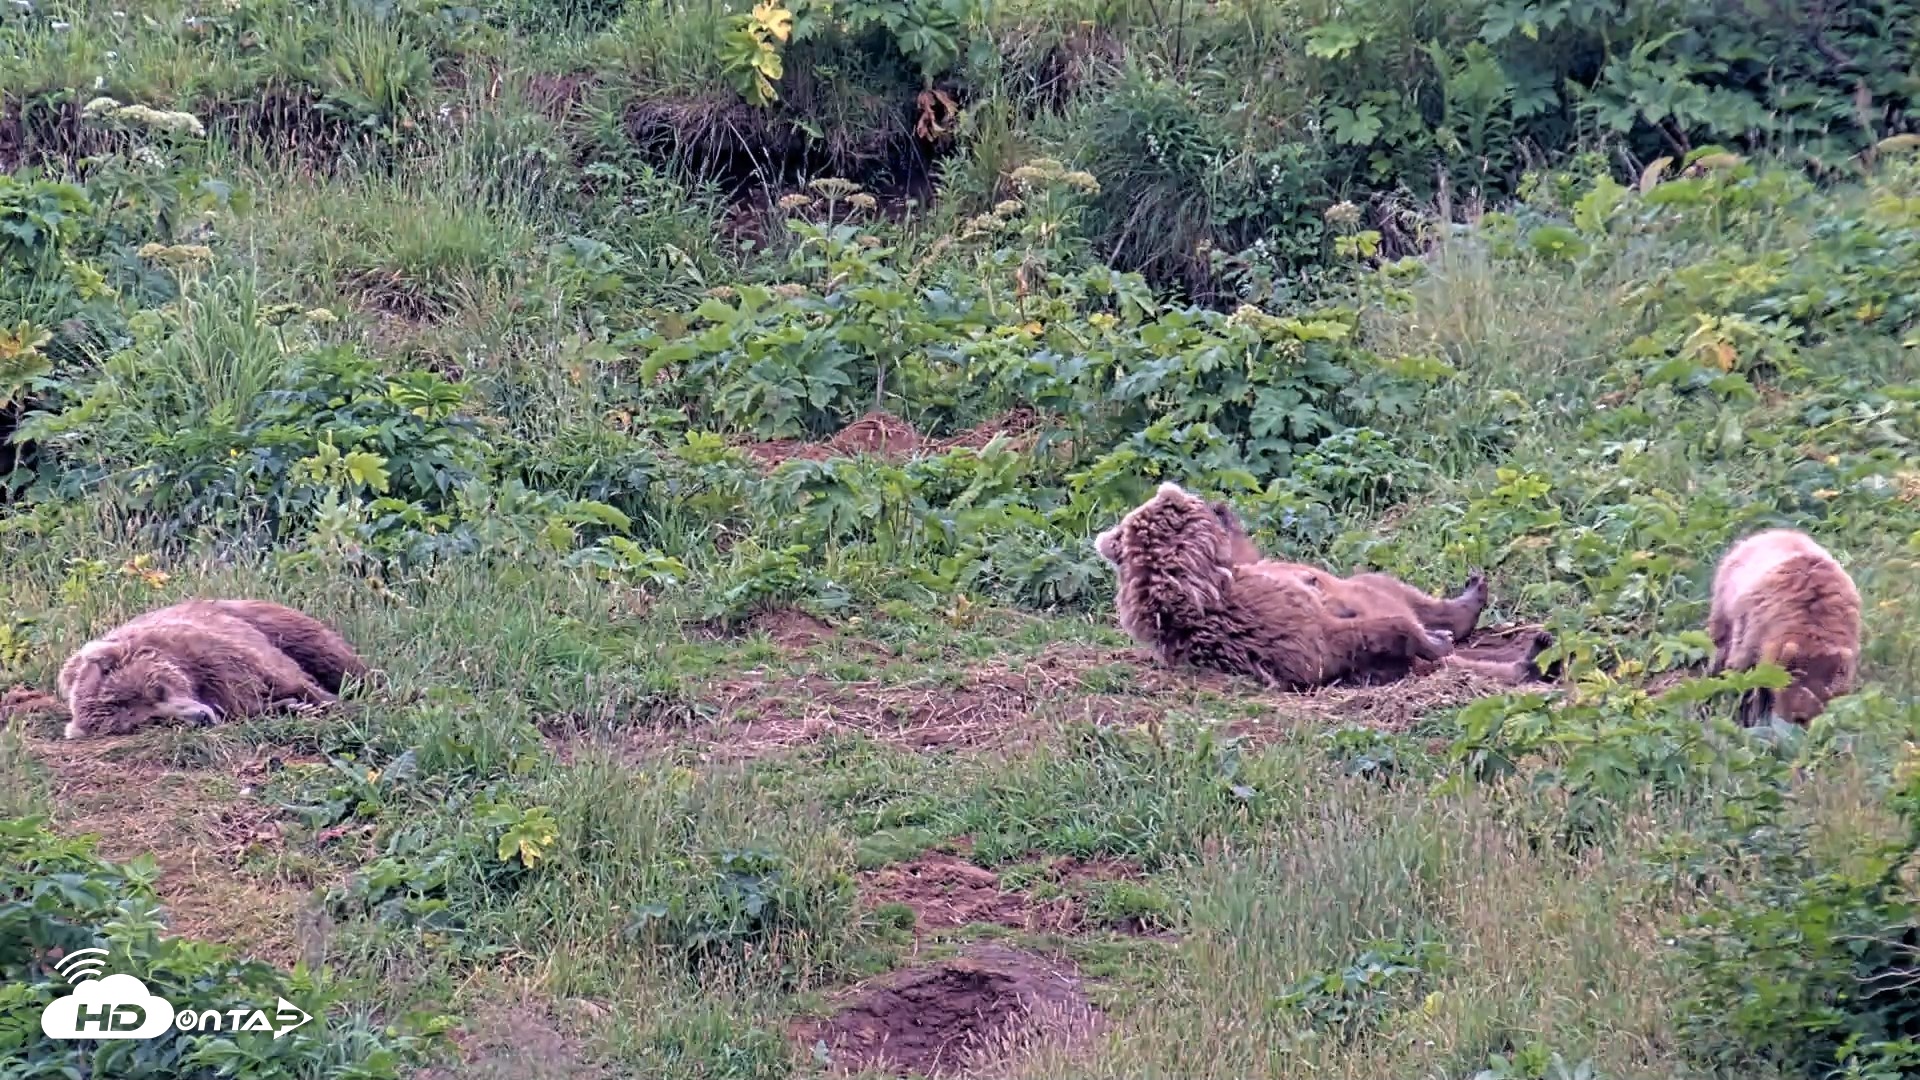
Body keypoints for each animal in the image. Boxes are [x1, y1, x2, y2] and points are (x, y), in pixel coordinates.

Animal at [58, 599, 367, 740]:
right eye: (151, 720)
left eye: (158, 690)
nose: (202, 718)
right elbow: (251, 705)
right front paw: (291, 707)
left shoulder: (215, 657)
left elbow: (282, 679)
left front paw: (327, 703)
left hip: (266, 620)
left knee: (329, 654)